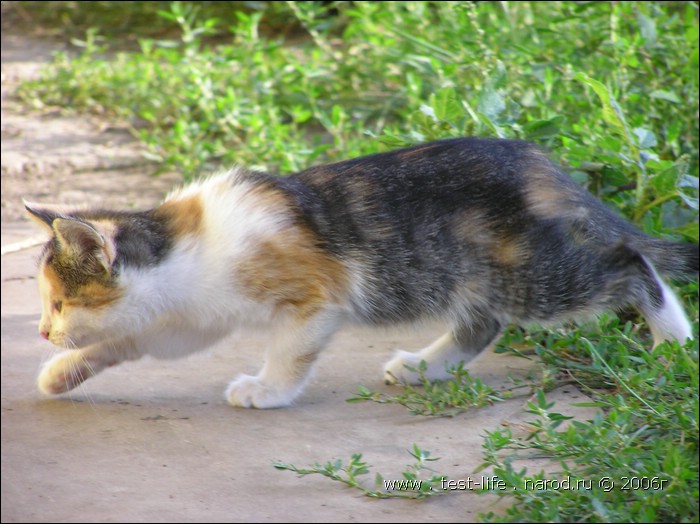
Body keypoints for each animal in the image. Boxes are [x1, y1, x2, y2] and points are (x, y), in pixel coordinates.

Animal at [26, 137, 696, 408]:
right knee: (482, 323)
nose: (41, 332)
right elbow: (135, 340)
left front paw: (267, 391)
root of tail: (543, 164)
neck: (182, 246)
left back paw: (672, 339)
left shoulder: (315, 296)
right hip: (476, 272)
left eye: (59, 303)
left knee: (630, 263)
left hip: (532, 277)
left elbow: (291, 350)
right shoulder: (188, 319)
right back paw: (424, 366)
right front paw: (64, 372)